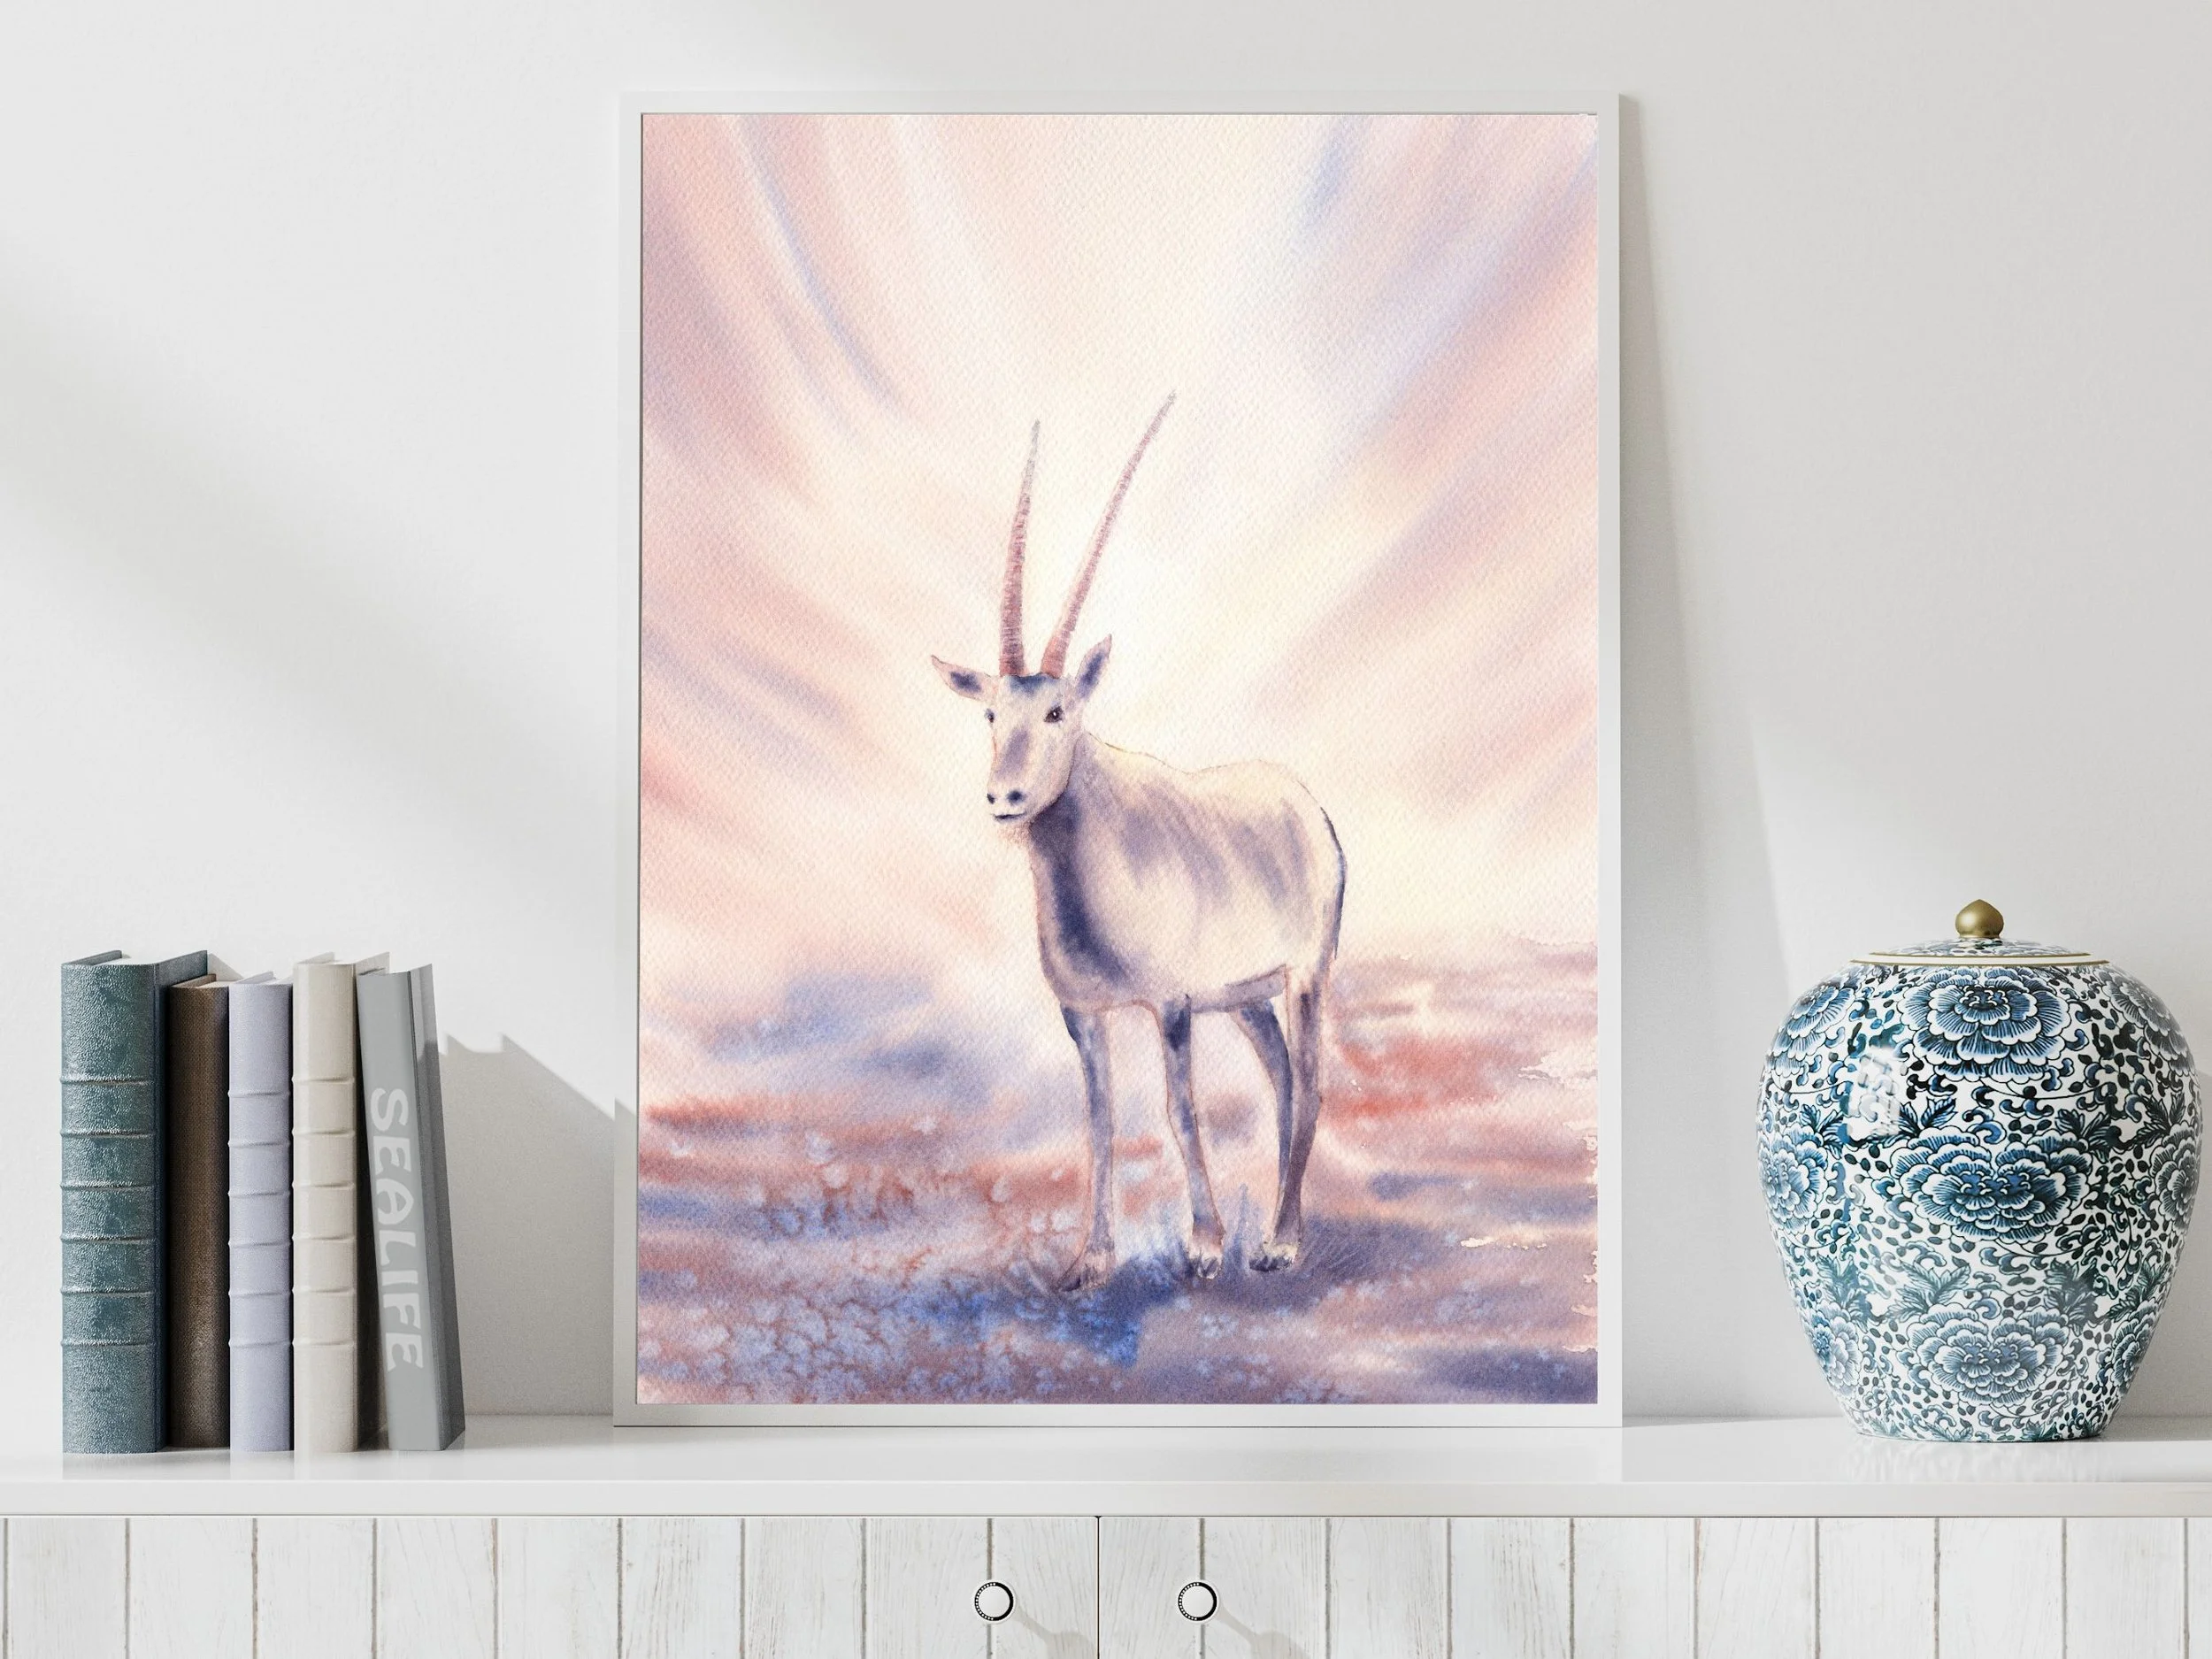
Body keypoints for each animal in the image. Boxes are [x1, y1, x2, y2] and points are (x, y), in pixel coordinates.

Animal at [932, 398, 1346, 1292]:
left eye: (1058, 710)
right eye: (992, 712)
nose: (1004, 797)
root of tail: (1303, 801)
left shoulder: (1171, 1004)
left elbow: (1179, 1109)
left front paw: (1204, 1247)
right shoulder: (1084, 1013)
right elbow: (1100, 1116)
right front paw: (1090, 1258)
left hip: (1304, 976)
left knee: (1311, 1082)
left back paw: (1280, 1242)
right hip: (1247, 996)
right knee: (1282, 1078)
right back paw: (1279, 1228)